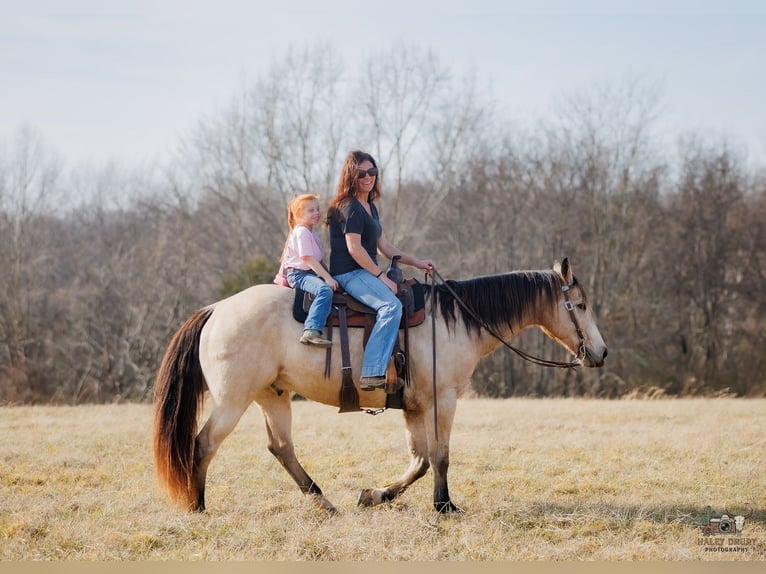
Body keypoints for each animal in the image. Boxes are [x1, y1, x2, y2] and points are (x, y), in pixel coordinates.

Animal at [153, 258, 607, 514]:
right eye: (581, 305)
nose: (601, 352)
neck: (453, 321)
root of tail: (216, 309)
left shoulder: (415, 406)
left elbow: (420, 460)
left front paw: (374, 495)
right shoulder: (442, 400)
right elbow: (440, 457)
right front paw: (445, 506)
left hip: (272, 396)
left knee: (281, 448)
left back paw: (324, 502)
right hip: (233, 399)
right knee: (203, 443)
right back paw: (197, 506)